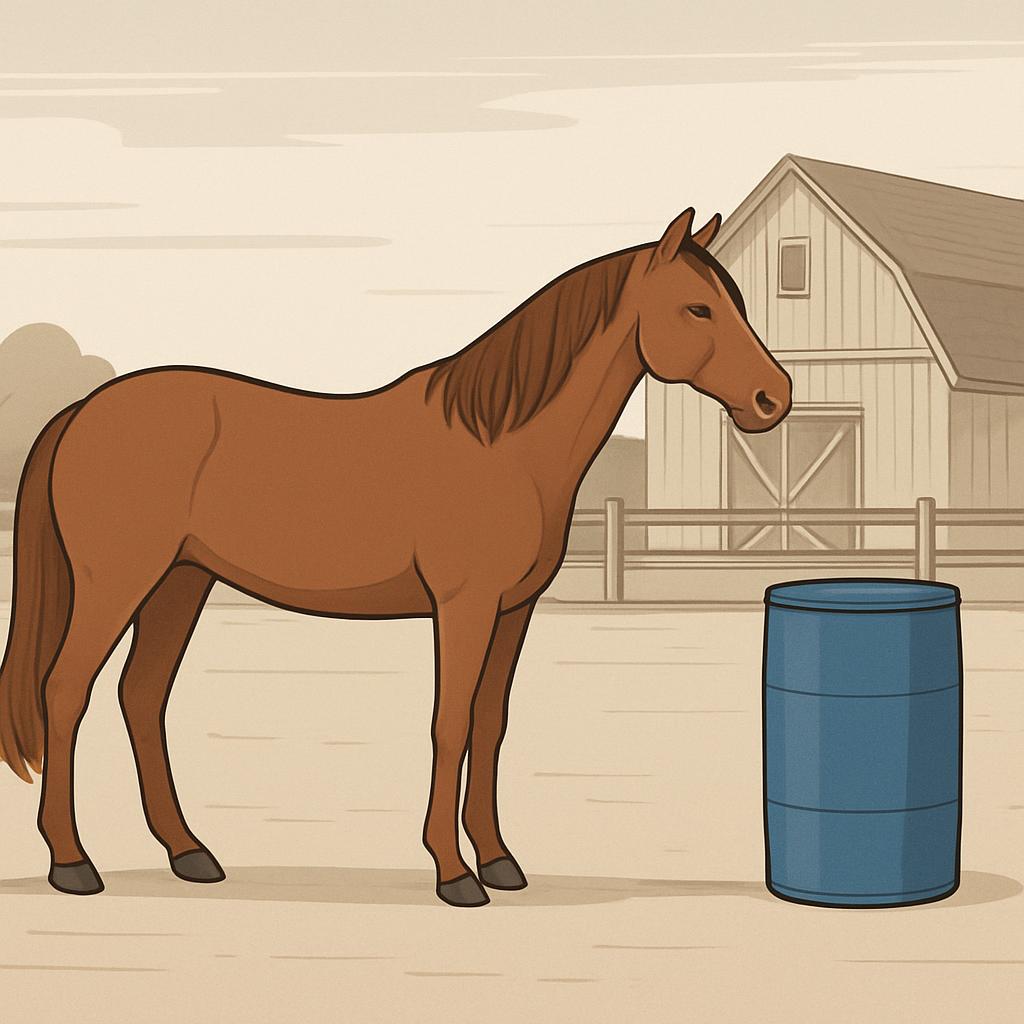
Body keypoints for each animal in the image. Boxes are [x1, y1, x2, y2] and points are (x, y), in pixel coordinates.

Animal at [0, 208, 791, 907]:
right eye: (697, 308)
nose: (773, 398)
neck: (503, 445)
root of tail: (82, 411)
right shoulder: (463, 607)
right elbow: (449, 724)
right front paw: (454, 874)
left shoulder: (513, 611)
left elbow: (489, 724)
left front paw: (499, 861)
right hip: (118, 583)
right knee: (66, 691)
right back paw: (73, 864)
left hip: (180, 583)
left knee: (142, 696)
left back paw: (189, 854)